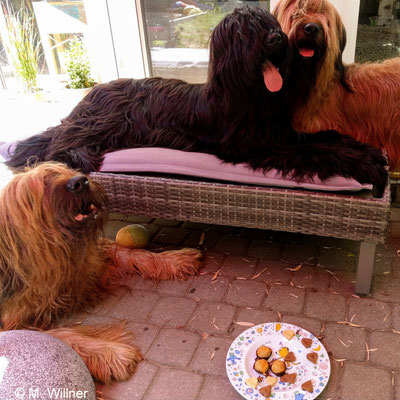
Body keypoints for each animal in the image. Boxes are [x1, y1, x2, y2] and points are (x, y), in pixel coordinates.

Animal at [0, 162, 202, 384]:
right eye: (43, 184)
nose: (81, 181)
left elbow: (130, 253)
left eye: (64, 169)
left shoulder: (90, 262)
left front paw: (173, 259)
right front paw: (108, 353)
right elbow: (59, 335)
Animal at [5, 8, 388, 197]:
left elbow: (324, 137)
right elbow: (312, 150)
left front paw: (366, 150)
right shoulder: (255, 146)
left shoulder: (280, 133)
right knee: (57, 143)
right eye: (245, 32)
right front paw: (368, 165)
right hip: (101, 125)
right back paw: (76, 155)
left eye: (268, 23)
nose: (277, 38)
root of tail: (92, 93)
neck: (250, 94)